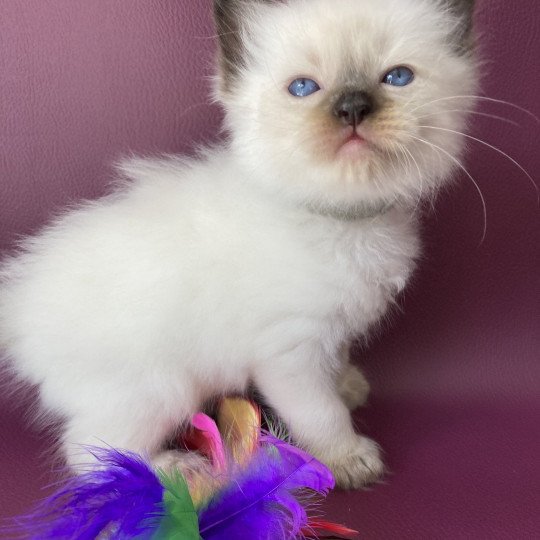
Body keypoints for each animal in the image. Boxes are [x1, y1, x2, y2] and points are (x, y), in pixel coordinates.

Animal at [0, 0, 474, 490]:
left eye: (397, 78)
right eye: (303, 88)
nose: (353, 107)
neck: (341, 218)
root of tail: (17, 303)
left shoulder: (331, 328)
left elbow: (338, 361)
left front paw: (348, 385)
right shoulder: (290, 352)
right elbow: (321, 413)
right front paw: (346, 459)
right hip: (159, 389)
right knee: (87, 451)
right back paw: (172, 471)